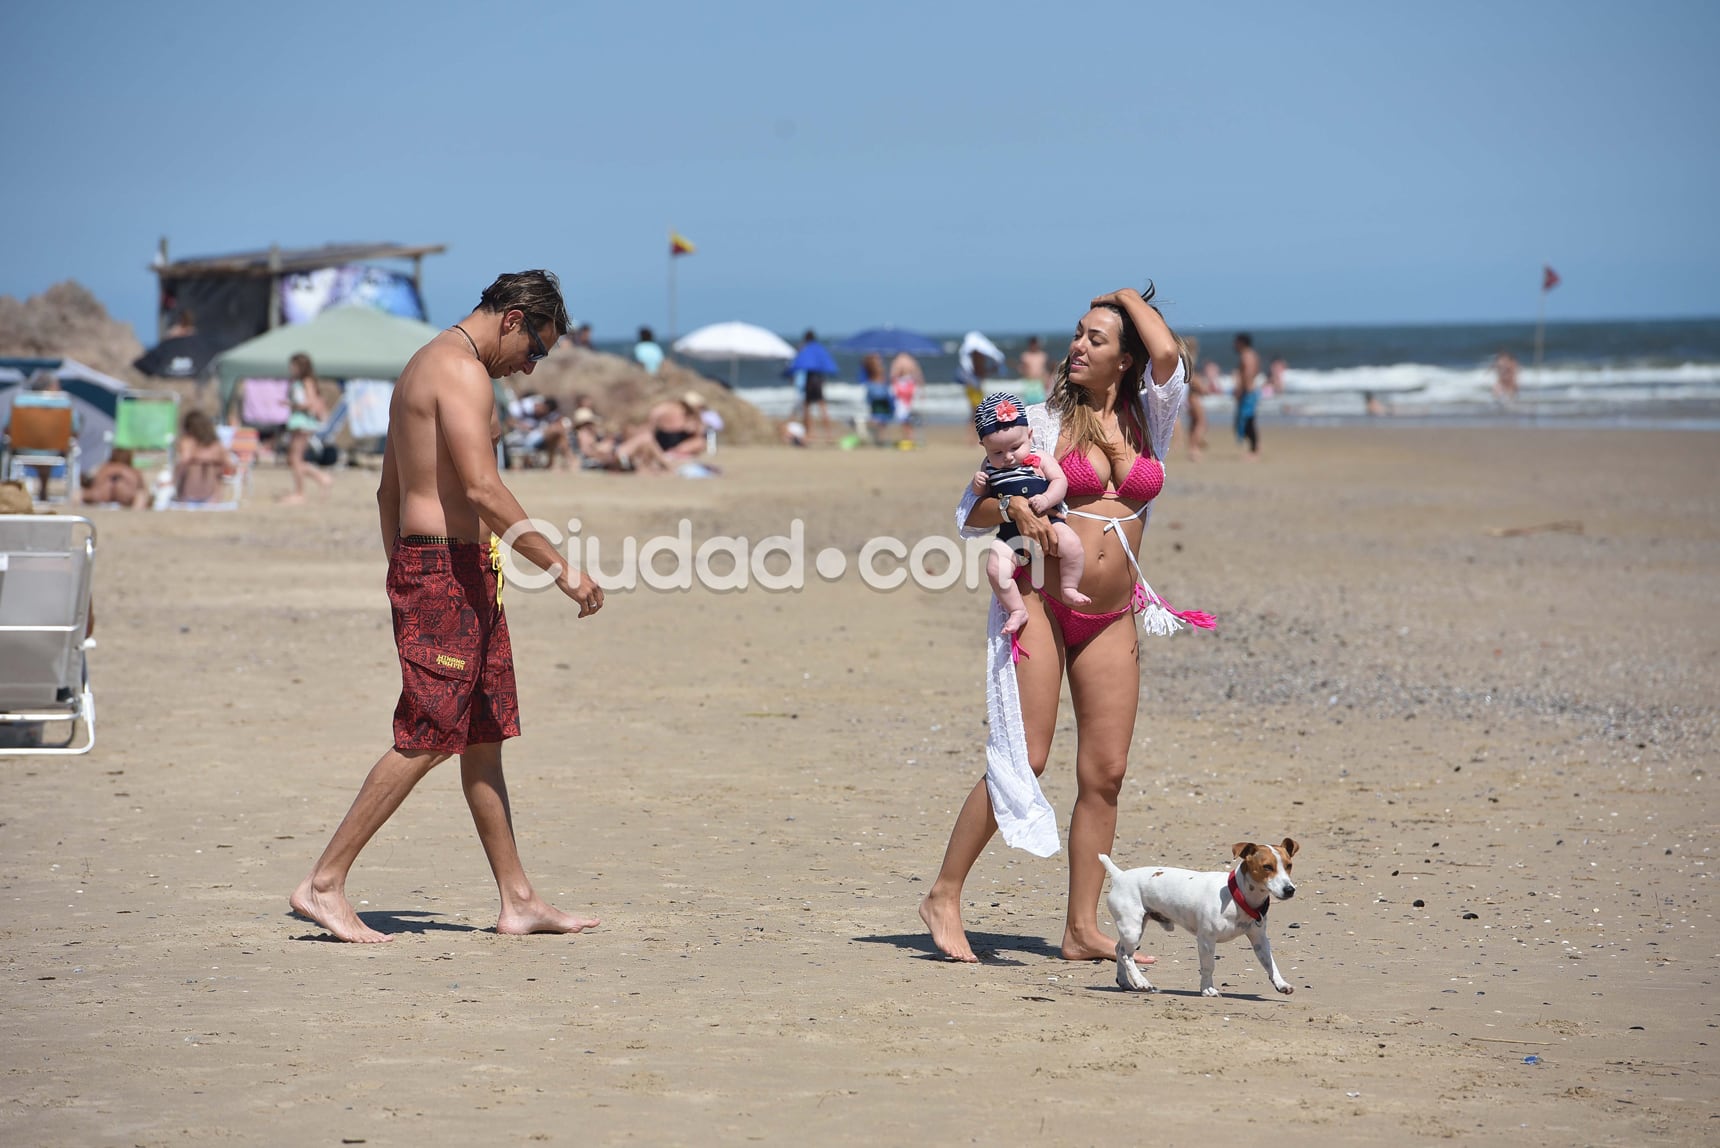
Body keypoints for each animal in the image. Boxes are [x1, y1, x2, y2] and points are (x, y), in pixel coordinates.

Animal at [1100, 839, 1300, 998]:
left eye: (1289, 865)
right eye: (1267, 867)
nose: (1290, 889)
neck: (1237, 896)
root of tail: (1119, 875)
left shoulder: (1259, 940)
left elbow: (1270, 964)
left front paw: (1281, 984)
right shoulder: (1206, 939)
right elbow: (1208, 966)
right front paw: (1207, 989)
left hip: (1135, 927)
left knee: (1118, 950)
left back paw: (1125, 982)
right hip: (1132, 928)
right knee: (1126, 955)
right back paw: (1142, 982)